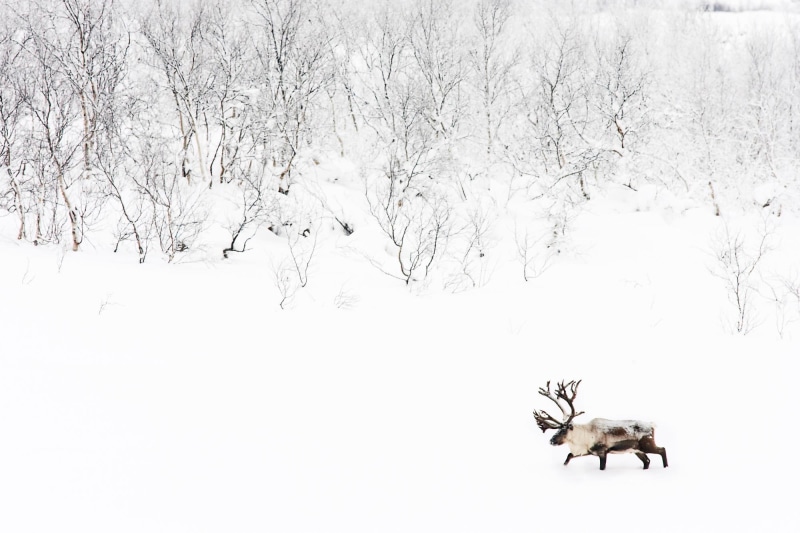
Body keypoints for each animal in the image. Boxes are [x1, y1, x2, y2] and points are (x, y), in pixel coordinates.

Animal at [532, 380, 668, 470]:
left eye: (563, 430)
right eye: (557, 430)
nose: (551, 441)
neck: (584, 436)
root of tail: (652, 425)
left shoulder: (603, 451)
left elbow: (602, 467)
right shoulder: (587, 451)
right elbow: (569, 456)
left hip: (647, 444)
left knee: (662, 449)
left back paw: (666, 467)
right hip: (636, 450)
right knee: (647, 461)